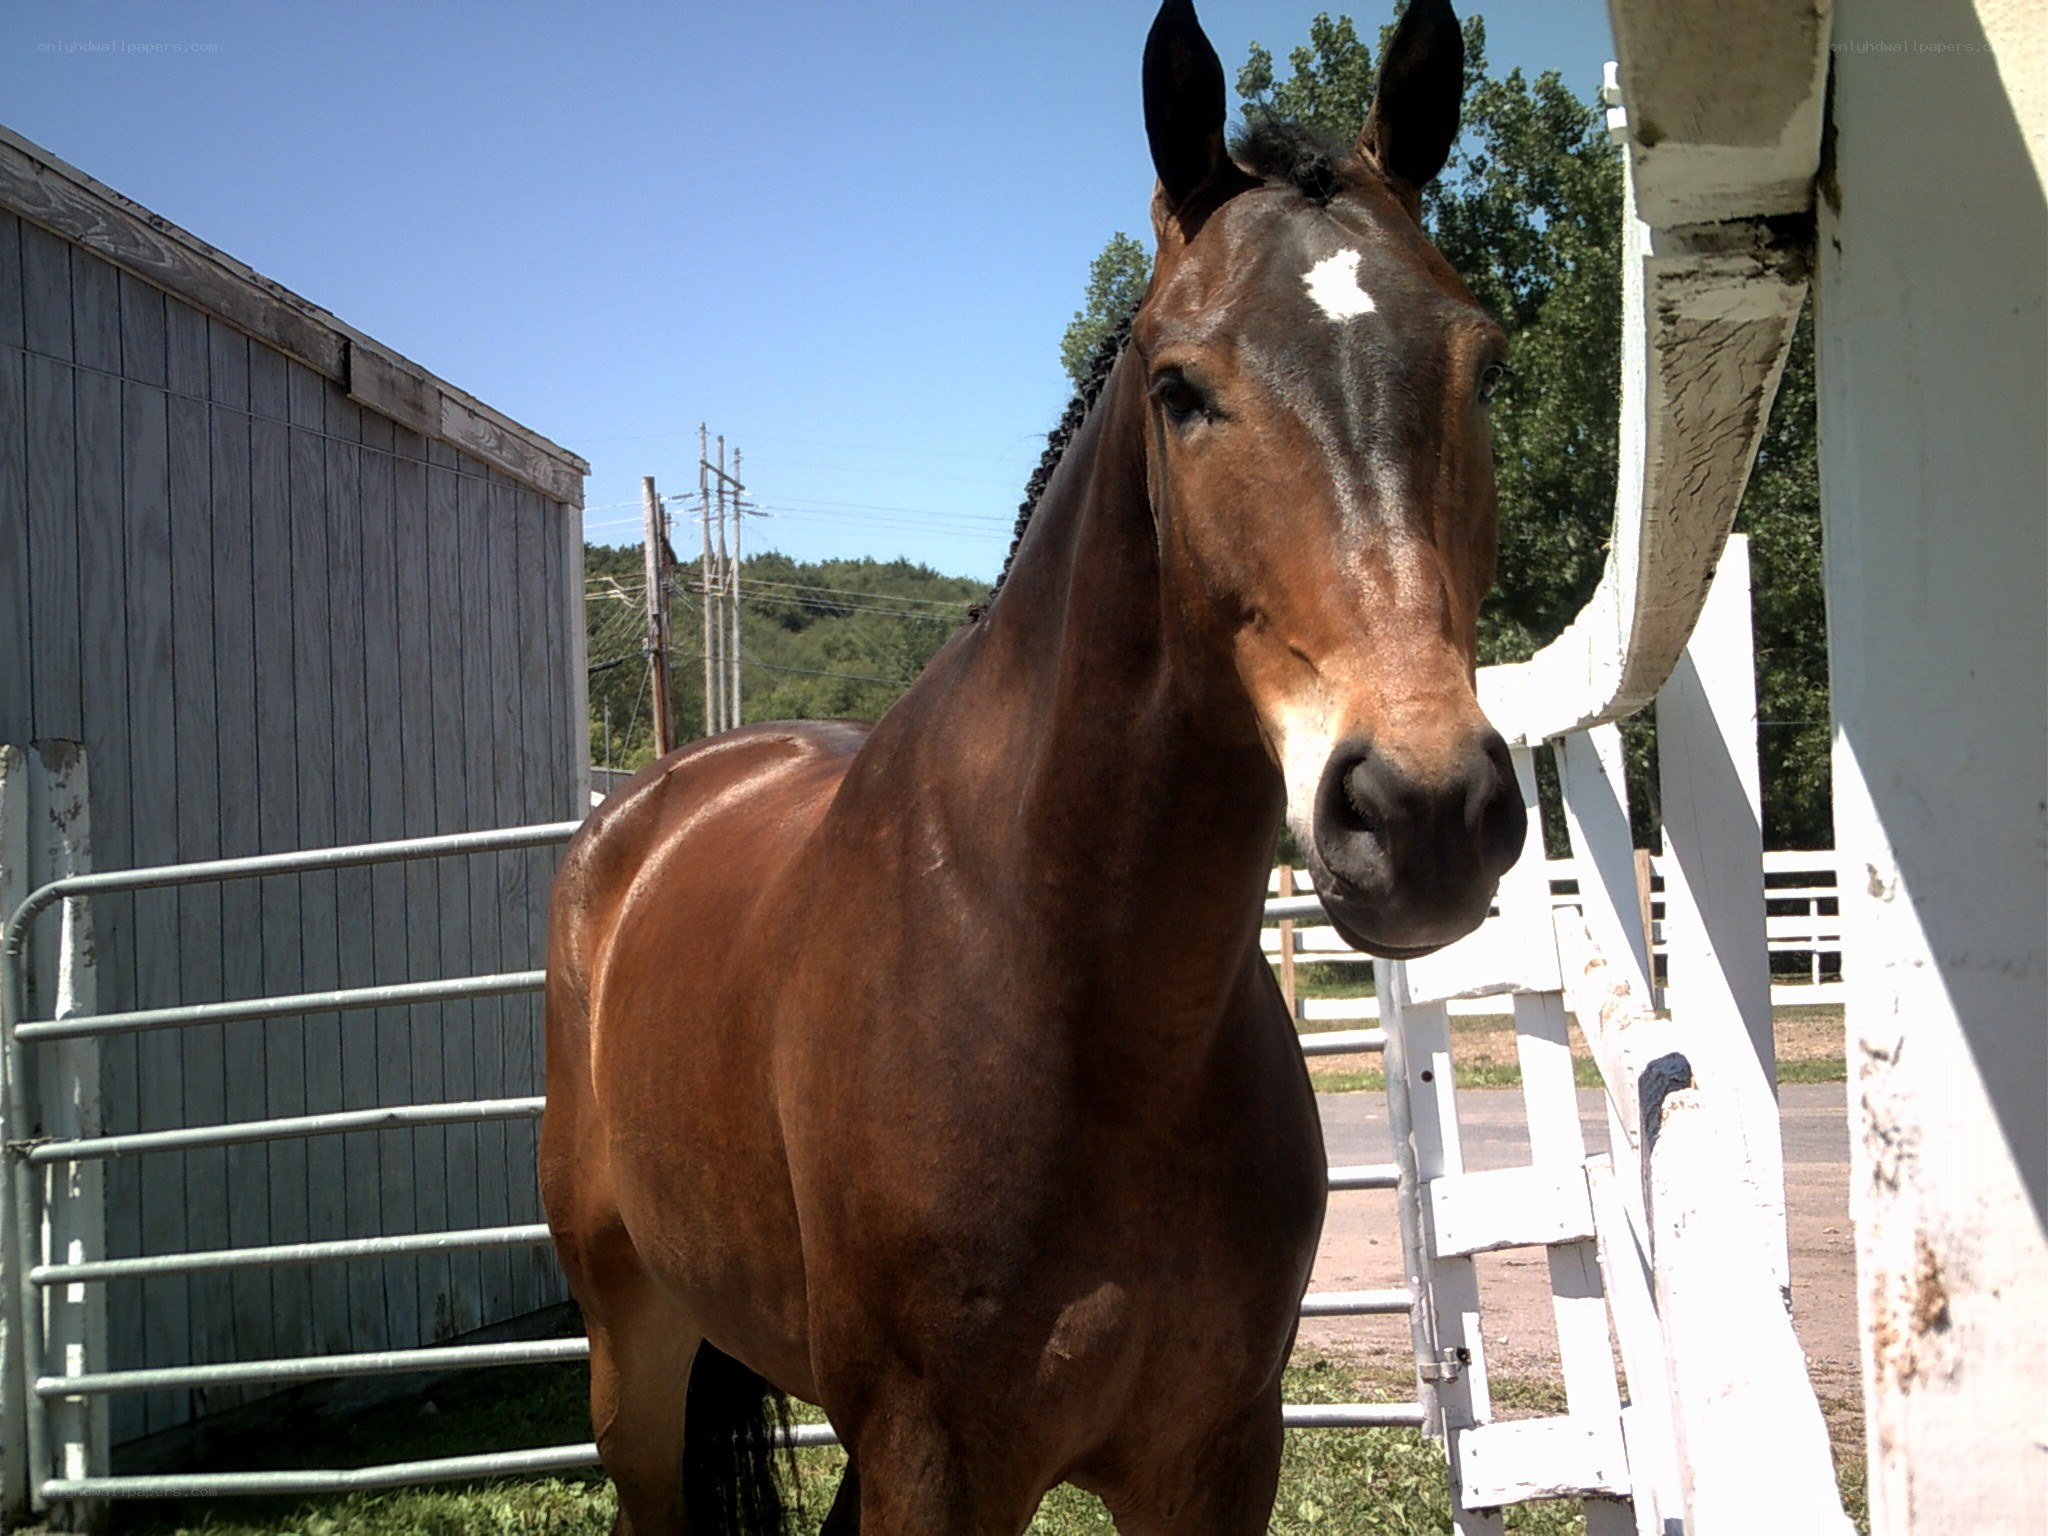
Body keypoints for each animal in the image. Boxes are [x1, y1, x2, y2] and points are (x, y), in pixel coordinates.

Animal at [540, 1, 1523, 1530]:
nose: (1424, 810)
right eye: (1180, 391)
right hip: (630, 1355)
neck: (1069, 995)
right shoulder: (934, 1462)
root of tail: (638, 818)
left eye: (1483, 366)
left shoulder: (1212, 1454)